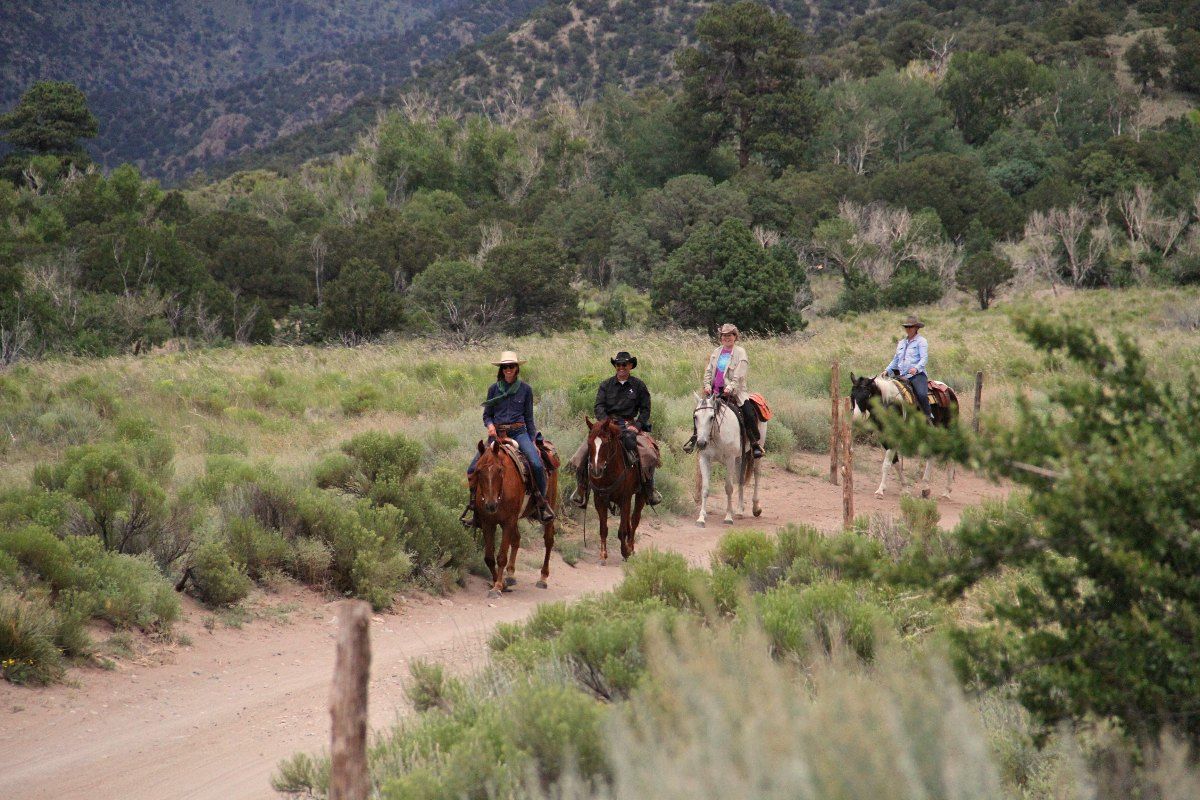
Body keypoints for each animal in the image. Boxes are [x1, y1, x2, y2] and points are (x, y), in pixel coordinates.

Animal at [470, 441, 559, 597]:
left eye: (500, 470)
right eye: (478, 471)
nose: (491, 505)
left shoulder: (507, 522)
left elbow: (501, 557)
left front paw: (498, 587)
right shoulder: (488, 523)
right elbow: (489, 557)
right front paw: (501, 583)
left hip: (549, 507)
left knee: (548, 541)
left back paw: (543, 578)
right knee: (517, 539)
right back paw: (511, 575)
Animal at [583, 419, 643, 563]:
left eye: (606, 443)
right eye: (589, 442)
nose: (596, 470)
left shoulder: (625, 498)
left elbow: (622, 531)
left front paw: (625, 551)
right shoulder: (600, 499)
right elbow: (603, 528)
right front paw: (603, 554)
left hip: (640, 495)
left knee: (634, 519)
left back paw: (630, 547)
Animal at [691, 393, 763, 525]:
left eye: (711, 417)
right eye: (695, 417)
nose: (701, 443)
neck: (717, 434)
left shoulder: (730, 459)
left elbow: (729, 488)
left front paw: (728, 517)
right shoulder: (704, 458)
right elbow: (705, 488)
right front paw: (701, 518)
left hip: (758, 449)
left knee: (757, 474)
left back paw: (756, 508)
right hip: (740, 457)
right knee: (740, 479)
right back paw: (739, 510)